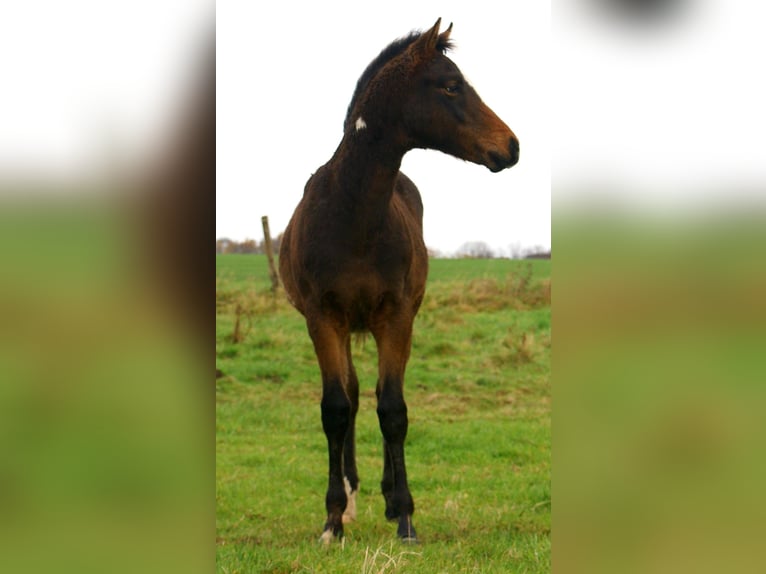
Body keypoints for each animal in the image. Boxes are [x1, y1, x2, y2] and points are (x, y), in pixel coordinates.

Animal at [279, 18, 519, 544]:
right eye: (450, 85)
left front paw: (406, 516)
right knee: (350, 395)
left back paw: (387, 497)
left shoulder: (397, 317)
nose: (512, 145)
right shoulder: (322, 317)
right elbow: (335, 408)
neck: (352, 216)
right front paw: (332, 520)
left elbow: (393, 410)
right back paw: (351, 498)